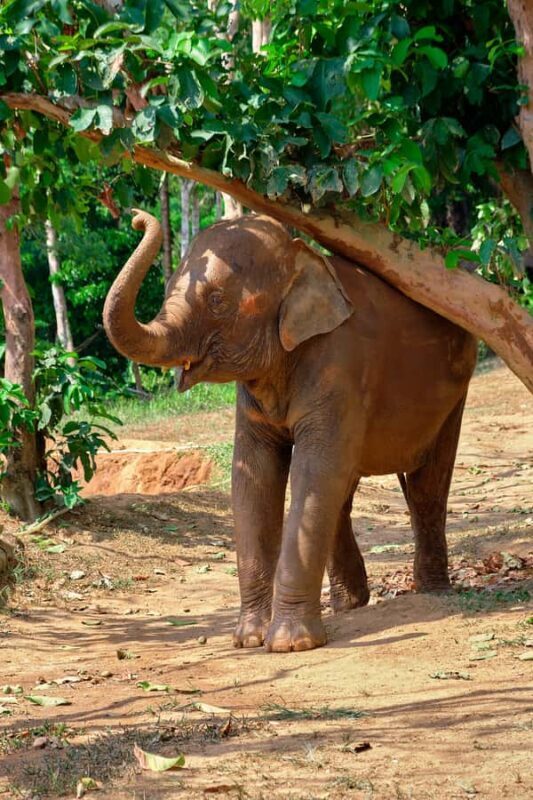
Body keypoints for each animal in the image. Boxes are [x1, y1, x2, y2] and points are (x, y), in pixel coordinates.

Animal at [103, 209, 477, 652]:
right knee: (344, 490)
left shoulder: (340, 364)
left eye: (217, 300)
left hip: (455, 392)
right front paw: (248, 639)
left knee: (426, 484)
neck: (302, 259)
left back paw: (433, 591)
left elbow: (311, 471)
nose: (134, 217)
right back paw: (350, 605)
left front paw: (289, 644)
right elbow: (255, 477)